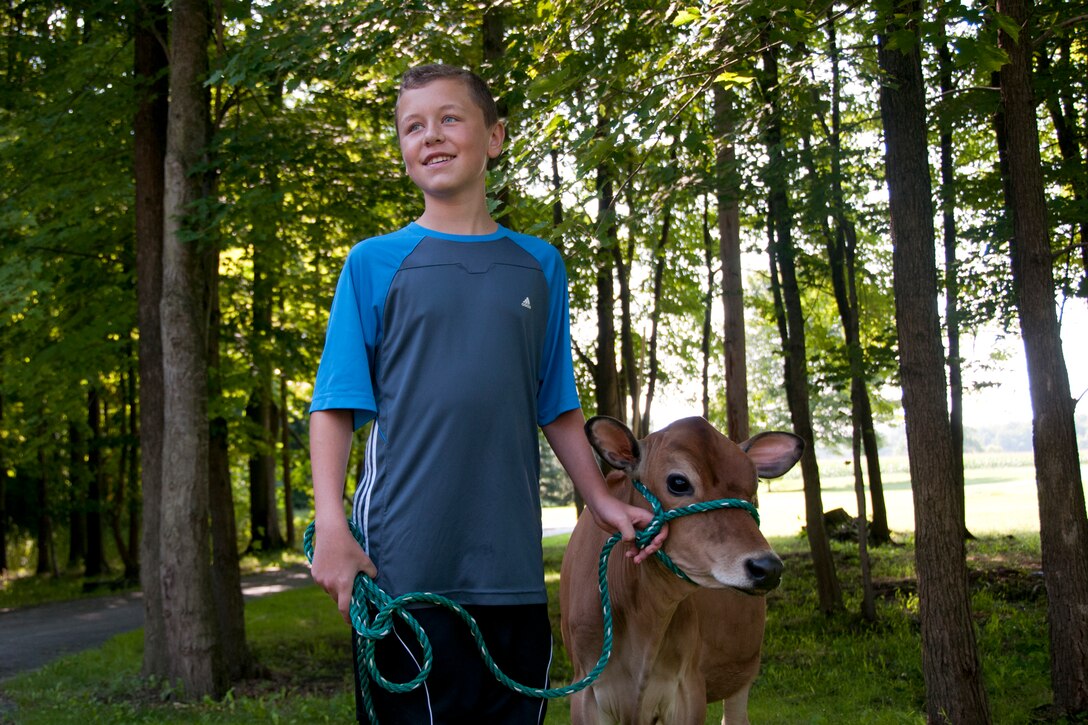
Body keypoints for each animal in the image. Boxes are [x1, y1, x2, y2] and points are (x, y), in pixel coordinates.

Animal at [561, 415, 800, 718]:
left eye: (754, 486)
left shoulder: (688, 687)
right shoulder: (585, 691)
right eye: (678, 482)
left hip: (743, 675)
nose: (767, 567)